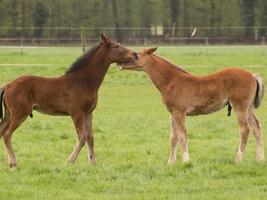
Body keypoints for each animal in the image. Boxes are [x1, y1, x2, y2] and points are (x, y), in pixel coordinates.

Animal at [0, 34, 138, 169]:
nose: (135, 54)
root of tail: (7, 86)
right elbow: (82, 137)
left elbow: (90, 137)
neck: (84, 81)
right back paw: (13, 164)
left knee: (2, 131)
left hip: (9, 115)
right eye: (116, 46)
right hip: (19, 114)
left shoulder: (88, 113)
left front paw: (93, 163)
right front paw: (70, 161)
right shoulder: (76, 113)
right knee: (7, 134)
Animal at [121, 47, 266, 164]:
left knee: (245, 130)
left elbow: (182, 135)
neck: (171, 81)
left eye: (137, 55)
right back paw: (260, 159)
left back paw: (238, 159)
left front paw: (186, 161)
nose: (121, 64)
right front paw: (171, 163)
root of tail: (252, 75)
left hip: (239, 106)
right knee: (256, 128)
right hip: (249, 108)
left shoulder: (180, 112)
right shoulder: (172, 113)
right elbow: (173, 137)